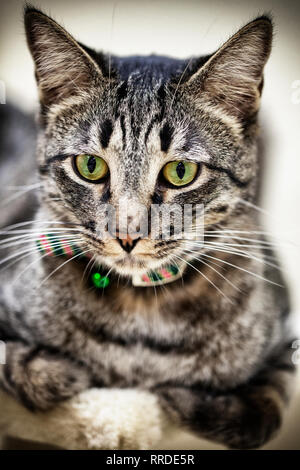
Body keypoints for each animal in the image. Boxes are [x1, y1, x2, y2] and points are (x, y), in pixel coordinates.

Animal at [0, 6, 296, 448]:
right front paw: (63, 371)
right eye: (90, 165)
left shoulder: (285, 339)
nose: (126, 234)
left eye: (180, 171)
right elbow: (22, 365)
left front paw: (177, 397)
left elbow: (262, 413)